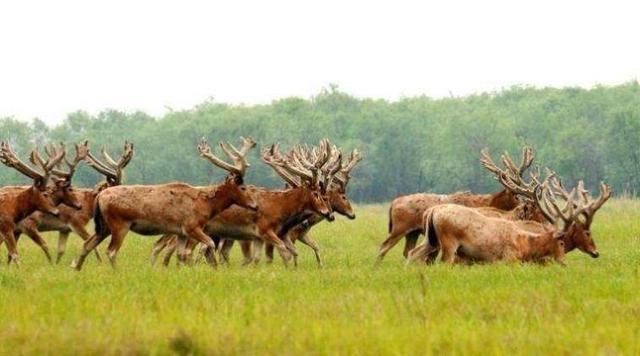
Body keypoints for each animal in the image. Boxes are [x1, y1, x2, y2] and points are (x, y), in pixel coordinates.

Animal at [70, 136, 260, 270]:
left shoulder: (181, 231)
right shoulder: (192, 225)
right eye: (242, 187)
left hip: (103, 226)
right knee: (111, 251)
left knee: (88, 244)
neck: (206, 205)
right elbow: (208, 245)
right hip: (119, 224)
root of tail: (99, 197)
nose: (255, 205)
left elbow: (181, 254)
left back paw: (76, 268)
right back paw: (116, 272)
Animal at [151, 139, 340, 268]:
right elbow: (282, 253)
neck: (280, 206)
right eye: (317, 193)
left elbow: (260, 257)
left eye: (326, 195)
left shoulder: (260, 236)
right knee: (182, 249)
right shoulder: (263, 230)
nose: (329, 214)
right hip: (196, 230)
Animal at [376, 147, 536, 264]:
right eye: (516, 196)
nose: (528, 203)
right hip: (399, 228)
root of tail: (393, 204)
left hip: (412, 233)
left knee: (407, 251)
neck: (492, 202)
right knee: (383, 247)